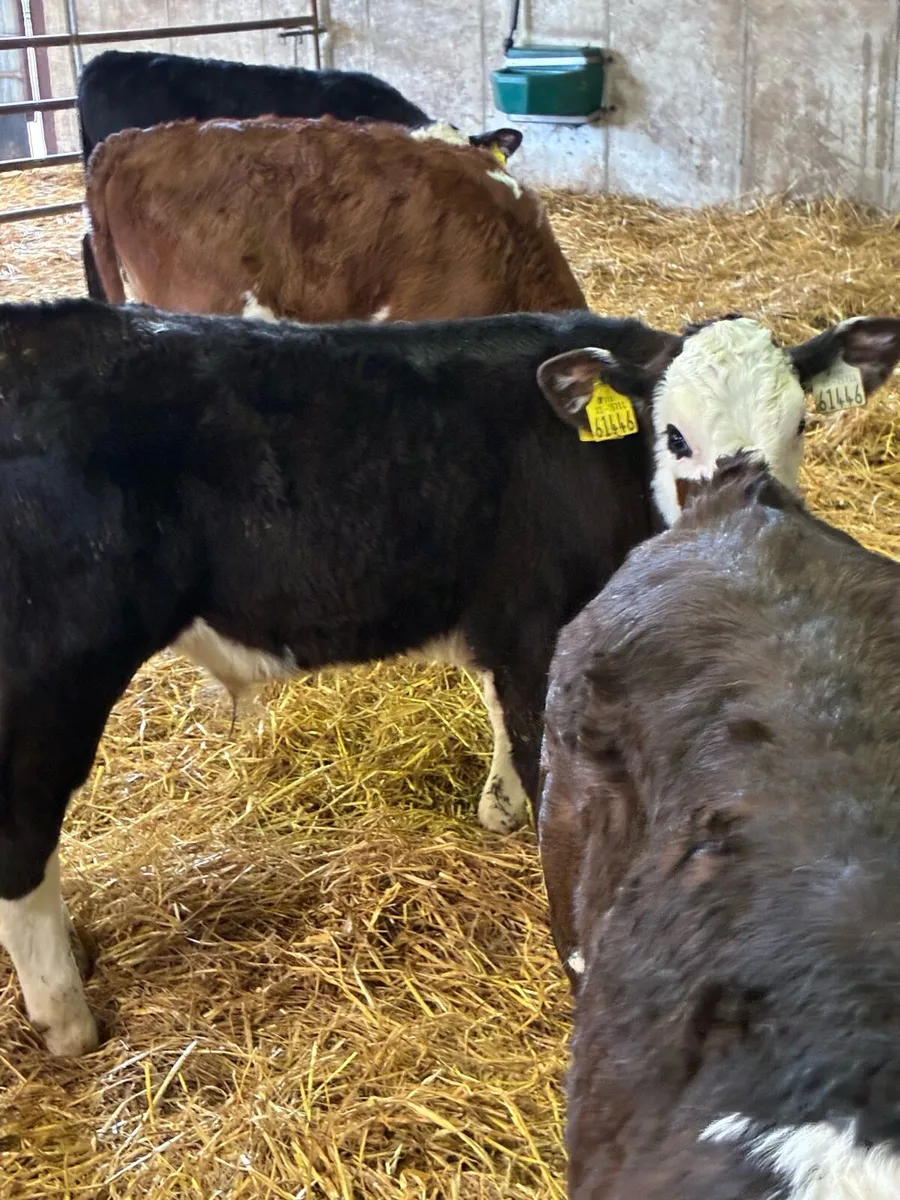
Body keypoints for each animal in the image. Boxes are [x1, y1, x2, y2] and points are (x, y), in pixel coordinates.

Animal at [0, 301, 898, 1057]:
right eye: (673, 435)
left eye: (800, 423)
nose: (749, 501)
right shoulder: (546, 627)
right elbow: (541, 761)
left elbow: (502, 717)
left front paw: (496, 807)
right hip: (48, 681)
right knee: (23, 845)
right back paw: (68, 1021)